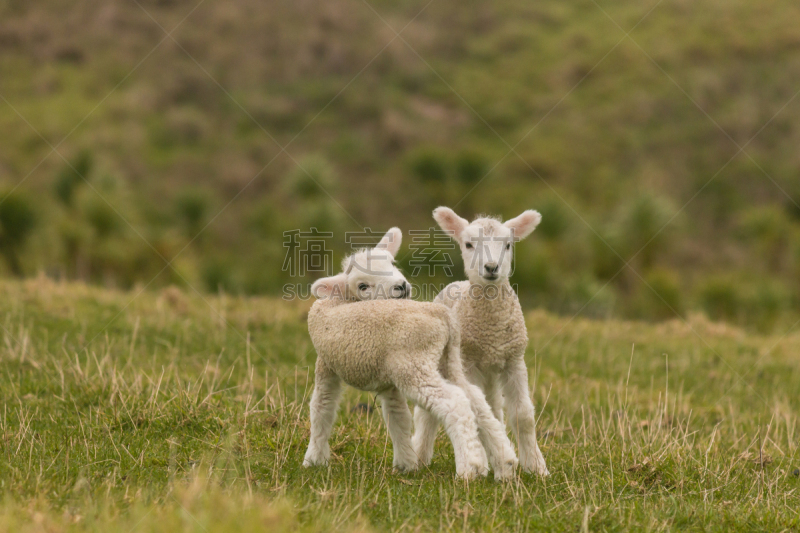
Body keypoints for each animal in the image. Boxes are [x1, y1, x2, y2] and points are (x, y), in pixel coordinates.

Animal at [302, 228, 520, 478]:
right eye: (363, 286)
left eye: (391, 263)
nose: (401, 286)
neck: (340, 301)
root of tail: (440, 314)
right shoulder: (387, 381)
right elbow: (398, 418)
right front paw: (406, 464)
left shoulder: (326, 365)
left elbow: (322, 409)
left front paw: (313, 459)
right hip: (445, 361)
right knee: (474, 398)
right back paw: (504, 460)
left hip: (414, 366)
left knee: (455, 402)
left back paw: (470, 467)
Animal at [412, 207, 552, 474]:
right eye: (468, 244)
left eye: (508, 245)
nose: (491, 267)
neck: (492, 328)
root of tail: (456, 283)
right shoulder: (467, 363)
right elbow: (476, 409)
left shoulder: (514, 359)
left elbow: (523, 415)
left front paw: (537, 468)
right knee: (428, 413)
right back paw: (420, 457)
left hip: (490, 372)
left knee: (494, 406)